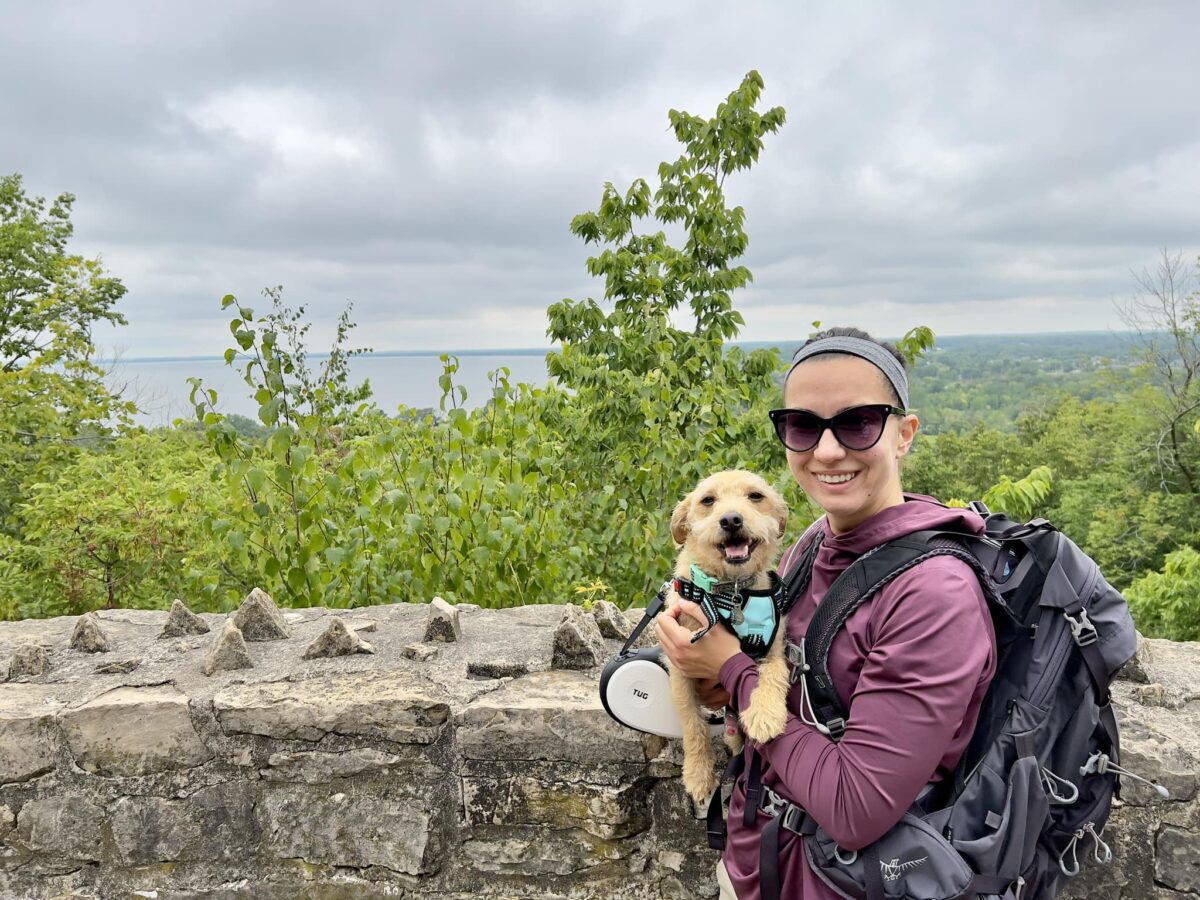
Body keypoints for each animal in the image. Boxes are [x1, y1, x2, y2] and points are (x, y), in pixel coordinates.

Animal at [672, 472, 792, 801]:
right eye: (708, 500)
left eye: (755, 496)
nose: (730, 520)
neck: (732, 591)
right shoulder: (678, 664)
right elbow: (692, 723)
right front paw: (698, 774)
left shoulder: (773, 647)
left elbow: (775, 673)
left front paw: (765, 714)